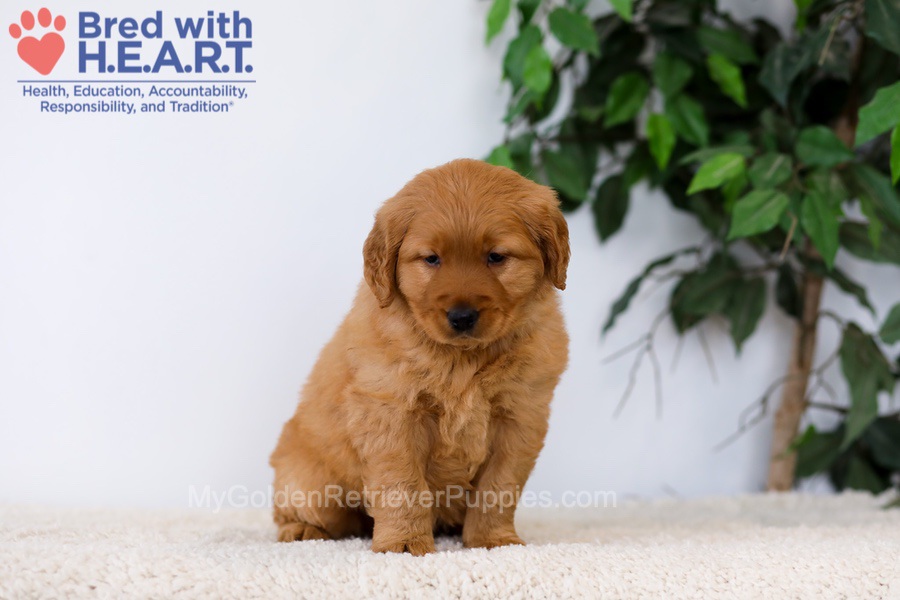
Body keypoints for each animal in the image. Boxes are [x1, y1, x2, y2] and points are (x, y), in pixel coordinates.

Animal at [270, 158, 569, 555]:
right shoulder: (391, 412)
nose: (462, 316)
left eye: (496, 257)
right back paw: (302, 529)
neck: (463, 359)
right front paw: (404, 543)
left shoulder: (521, 416)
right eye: (431, 259)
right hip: (312, 484)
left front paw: (493, 540)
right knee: (307, 512)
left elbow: (499, 487)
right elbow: (402, 485)